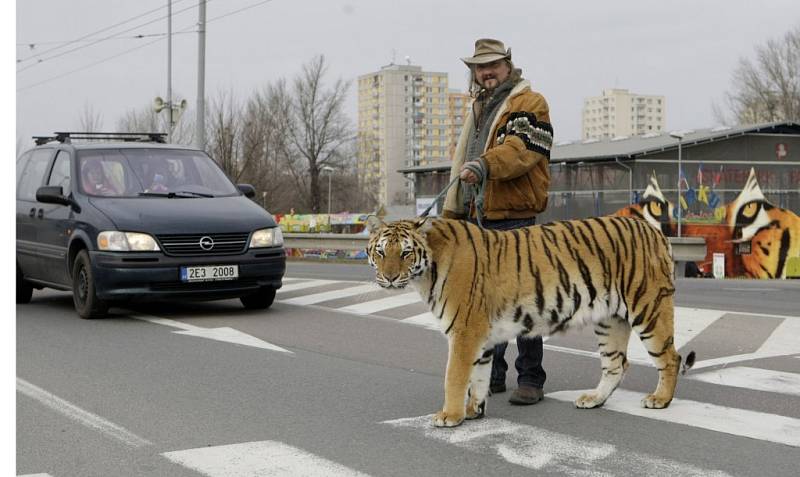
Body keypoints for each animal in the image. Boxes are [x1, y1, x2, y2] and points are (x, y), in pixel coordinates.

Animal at [366, 216, 692, 428]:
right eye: (380, 252)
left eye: (406, 253)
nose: (390, 277)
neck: (426, 271)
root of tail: (654, 229)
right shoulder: (481, 337)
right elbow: (478, 377)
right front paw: (473, 411)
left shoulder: (464, 331)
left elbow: (455, 376)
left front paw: (450, 416)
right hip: (609, 319)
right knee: (616, 364)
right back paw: (594, 399)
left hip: (648, 308)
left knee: (670, 357)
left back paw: (660, 399)